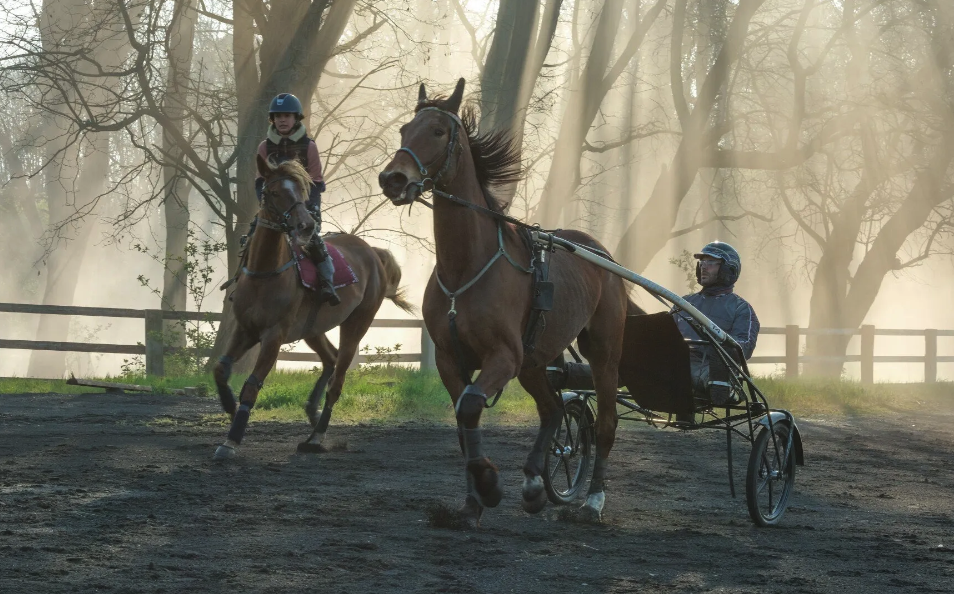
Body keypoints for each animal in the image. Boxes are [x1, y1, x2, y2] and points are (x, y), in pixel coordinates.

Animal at [215, 156, 412, 458]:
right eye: (274, 192)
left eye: (302, 191)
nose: (306, 225)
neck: (265, 272)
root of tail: (373, 253)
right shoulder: (245, 329)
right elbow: (220, 368)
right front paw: (229, 405)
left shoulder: (273, 336)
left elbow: (251, 385)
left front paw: (231, 439)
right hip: (312, 329)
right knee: (330, 358)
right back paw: (312, 411)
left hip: (357, 323)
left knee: (337, 379)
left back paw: (316, 436)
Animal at [376, 80, 636, 524]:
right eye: (404, 130)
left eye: (438, 132)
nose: (392, 178)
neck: (466, 268)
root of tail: (601, 254)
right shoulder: (450, 358)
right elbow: (464, 421)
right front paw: (471, 505)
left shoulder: (503, 356)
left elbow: (470, 407)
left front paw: (489, 485)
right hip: (534, 359)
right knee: (551, 409)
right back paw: (534, 483)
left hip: (602, 350)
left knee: (605, 422)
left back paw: (592, 501)